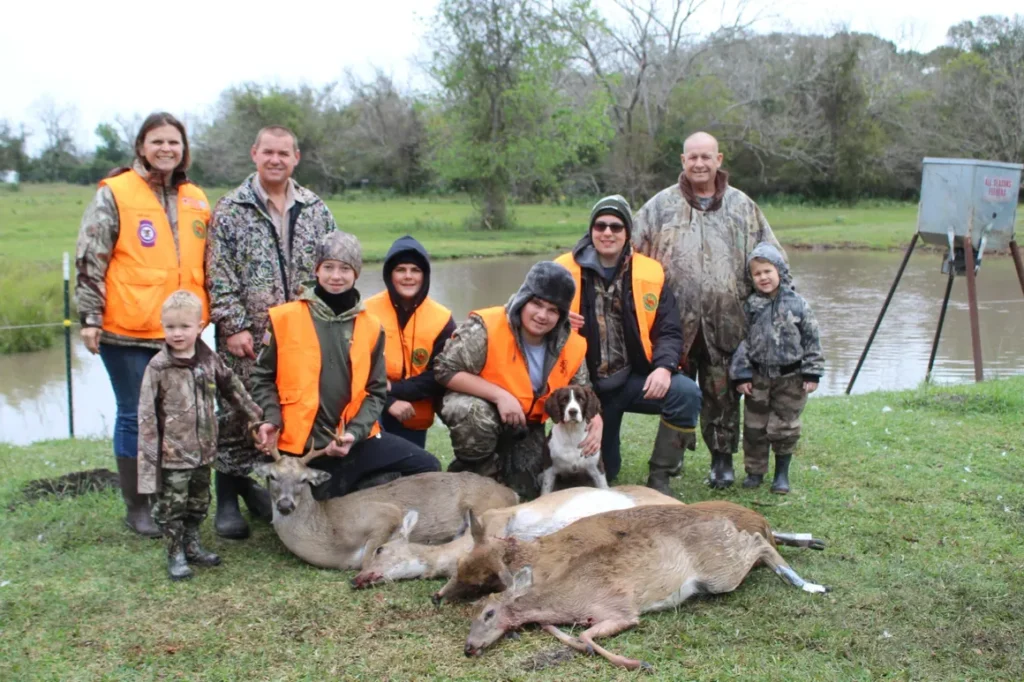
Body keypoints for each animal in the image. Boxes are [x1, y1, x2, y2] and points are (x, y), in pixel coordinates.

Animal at [248, 430, 520, 569]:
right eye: (271, 476)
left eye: (304, 480)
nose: (285, 505)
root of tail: (511, 492)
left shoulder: (383, 513)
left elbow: (368, 559)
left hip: (482, 506)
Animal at [460, 503, 827, 667]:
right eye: (474, 612)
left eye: (488, 613)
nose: (468, 647)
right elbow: (560, 630)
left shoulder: (621, 607)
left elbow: (585, 636)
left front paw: (635, 663)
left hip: (721, 574)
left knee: (760, 545)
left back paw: (809, 582)